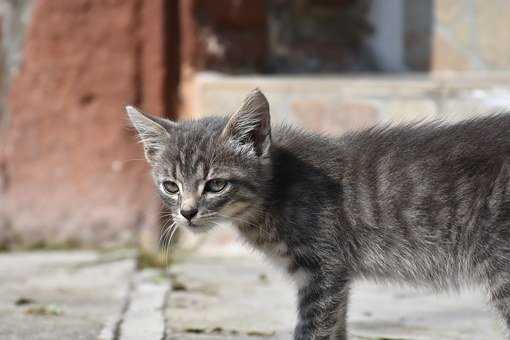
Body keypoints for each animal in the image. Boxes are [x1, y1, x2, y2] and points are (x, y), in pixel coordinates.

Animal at [128, 89, 510, 338]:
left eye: (216, 185)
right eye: (171, 186)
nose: (188, 213)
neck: (277, 190)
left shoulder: (324, 270)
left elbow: (312, 330)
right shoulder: (331, 278)